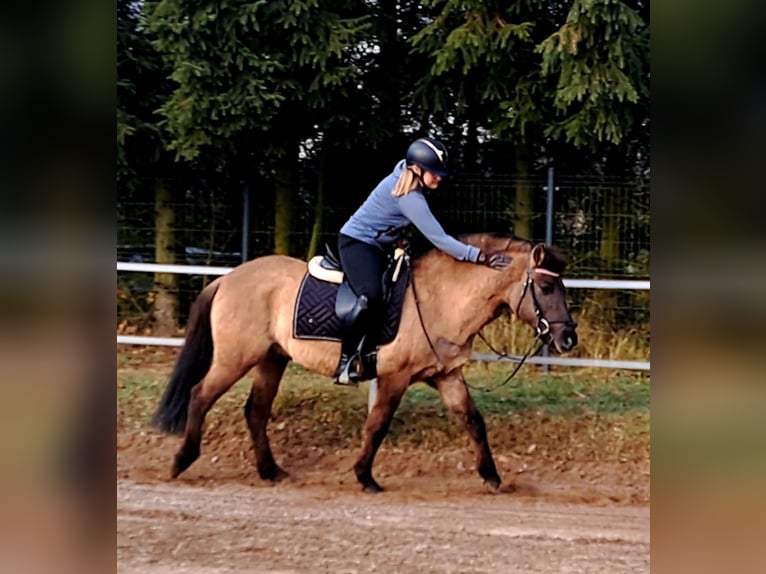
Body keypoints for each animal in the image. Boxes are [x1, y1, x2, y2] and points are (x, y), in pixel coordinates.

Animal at [152, 233, 578, 493]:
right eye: (545, 287)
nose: (568, 338)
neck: (439, 299)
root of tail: (226, 279)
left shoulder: (447, 376)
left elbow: (473, 422)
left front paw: (492, 477)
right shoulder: (394, 377)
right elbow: (378, 425)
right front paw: (365, 476)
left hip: (272, 359)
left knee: (255, 410)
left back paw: (270, 471)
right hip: (235, 359)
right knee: (199, 395)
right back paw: (181, 461)